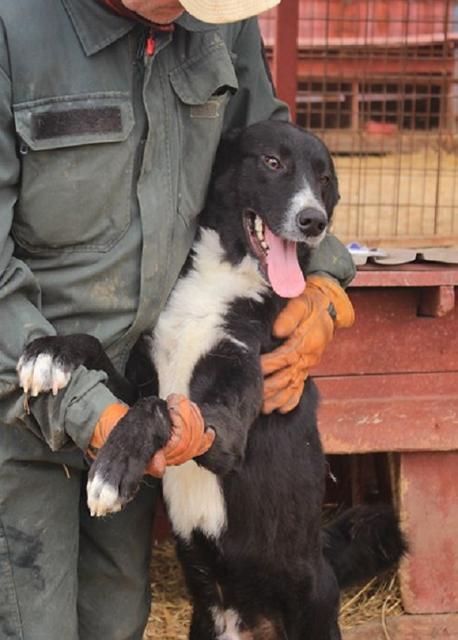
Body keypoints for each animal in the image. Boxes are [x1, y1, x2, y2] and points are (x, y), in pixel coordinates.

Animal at [17, 121, 404, 640]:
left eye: (325, 179)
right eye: (272, 162)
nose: (314, 221)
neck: (223, 280)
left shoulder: (227, 433)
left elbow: (161, 409)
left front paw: (113, 470)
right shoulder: (140, 381)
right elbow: (105, 359)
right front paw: (51, 351)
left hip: (314, 610)